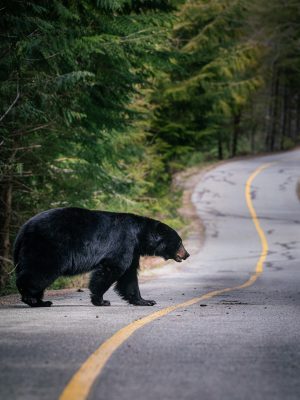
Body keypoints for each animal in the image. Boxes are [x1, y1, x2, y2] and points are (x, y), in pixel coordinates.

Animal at [14, 208, 189, 308]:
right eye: (180, 242)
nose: (187, 254)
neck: (139, 235)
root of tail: (23, 229)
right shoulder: (123, 243)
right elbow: (114, 268)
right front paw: (101, 300)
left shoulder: (133, 250)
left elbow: (129, 276)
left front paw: (145, 301)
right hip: (48, 246)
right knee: (40, 271)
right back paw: (31, 298)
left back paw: (42, 301)